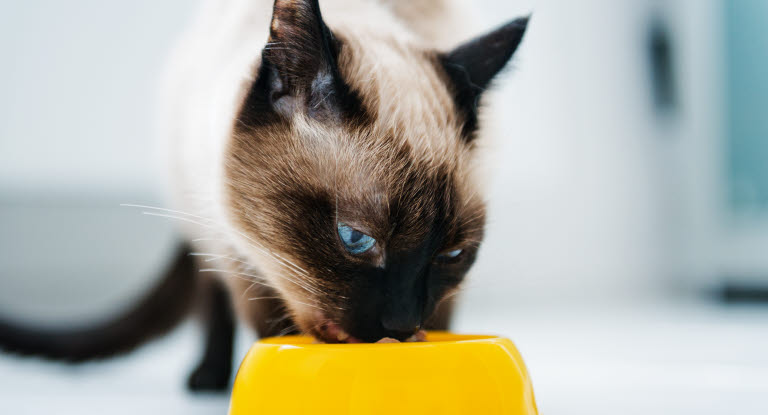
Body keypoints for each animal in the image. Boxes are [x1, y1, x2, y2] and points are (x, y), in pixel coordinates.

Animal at [0, 0, 528, 392]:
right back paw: (208, 379)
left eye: (452, 255)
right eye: (355, 239)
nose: (399, 325)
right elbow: (264, 327)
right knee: (211, 300)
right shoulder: (241, 254)